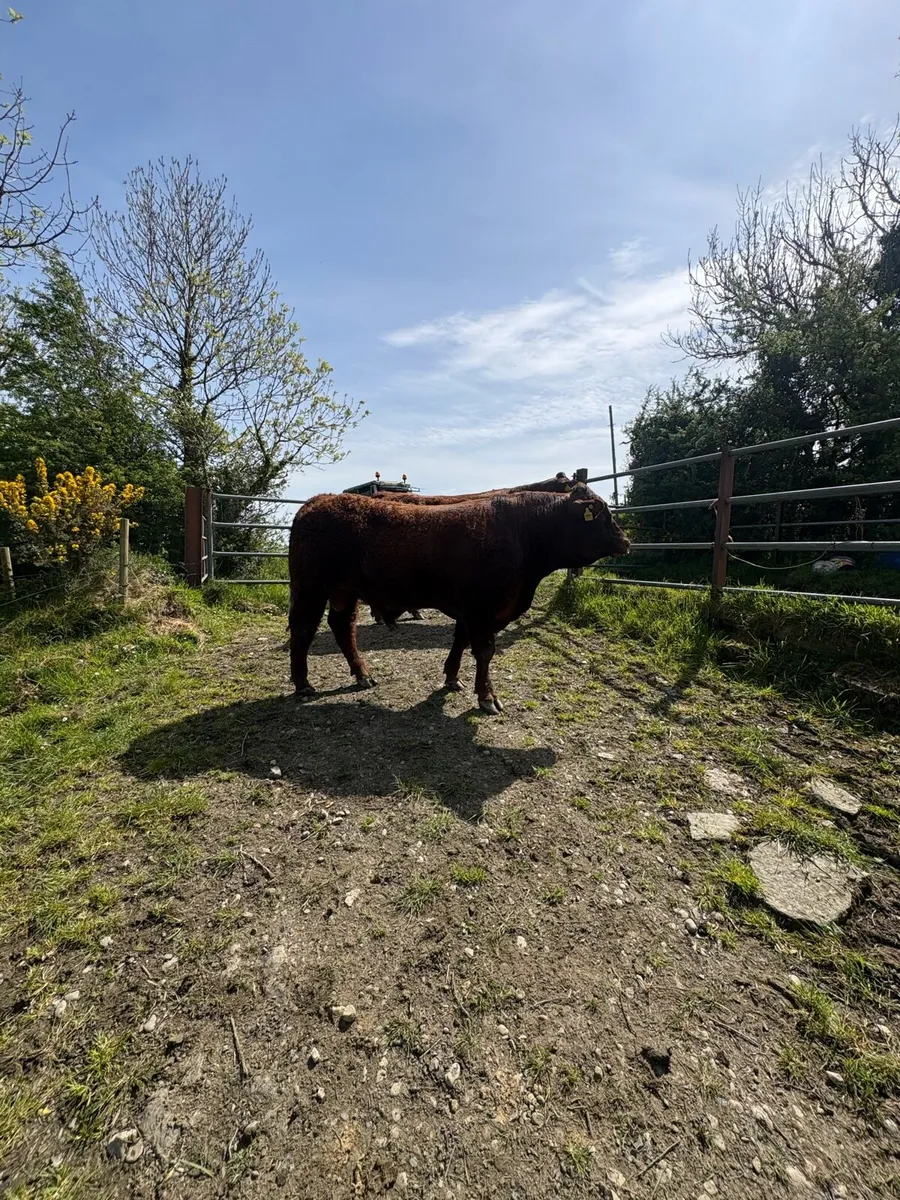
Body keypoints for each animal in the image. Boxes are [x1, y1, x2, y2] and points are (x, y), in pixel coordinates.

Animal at [288, 484, 630, 714]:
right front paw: (488, 698)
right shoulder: (482, 609)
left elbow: (461, 642)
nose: (626, 541)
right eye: (603, 516)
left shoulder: (472, 611)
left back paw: (363, 674)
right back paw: (303, 684)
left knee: (342, 626)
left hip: (345, 592)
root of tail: (318, 500)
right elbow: (484, 651)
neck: (521, 533)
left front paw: (452, 678)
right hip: (310, 588)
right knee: (303, 629)